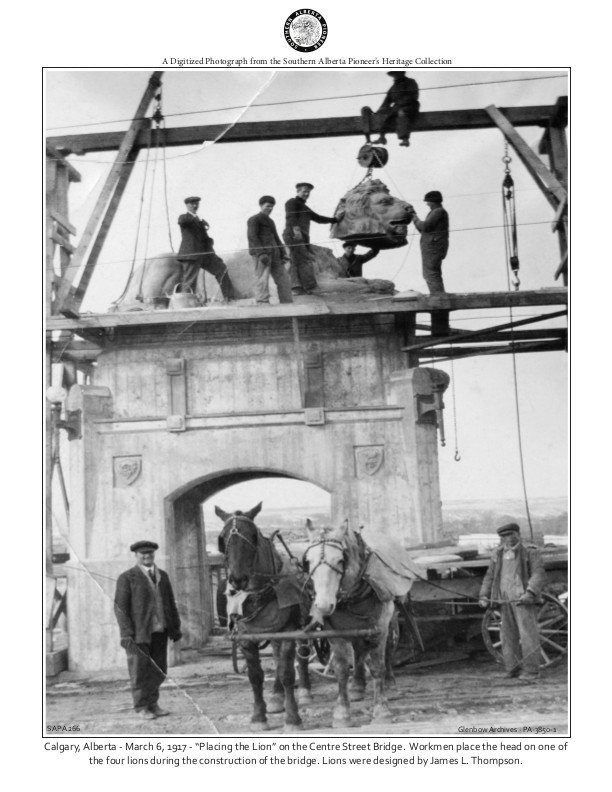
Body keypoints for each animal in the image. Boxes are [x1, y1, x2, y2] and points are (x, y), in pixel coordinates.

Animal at [215, 502, 310, 732]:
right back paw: (276, 696)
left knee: (301, 654)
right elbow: (255, 676)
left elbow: (287, 673)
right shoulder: (246, 638)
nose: (237, 579)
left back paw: (304, 691)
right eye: (222, 538)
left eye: (253, 535)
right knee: (276, 659)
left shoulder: (288, 632)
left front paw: (292, 718)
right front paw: (259, 716)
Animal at [304, 516, 394, 728]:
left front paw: (382, 710)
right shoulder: (335, 634)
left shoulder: (379, 628)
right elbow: (342, 669)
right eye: (308, 561)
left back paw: (388, 680)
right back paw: (357, 686)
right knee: (358, 652)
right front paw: (342, 713)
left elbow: (377, 667)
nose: (323, 605)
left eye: (339, 559)